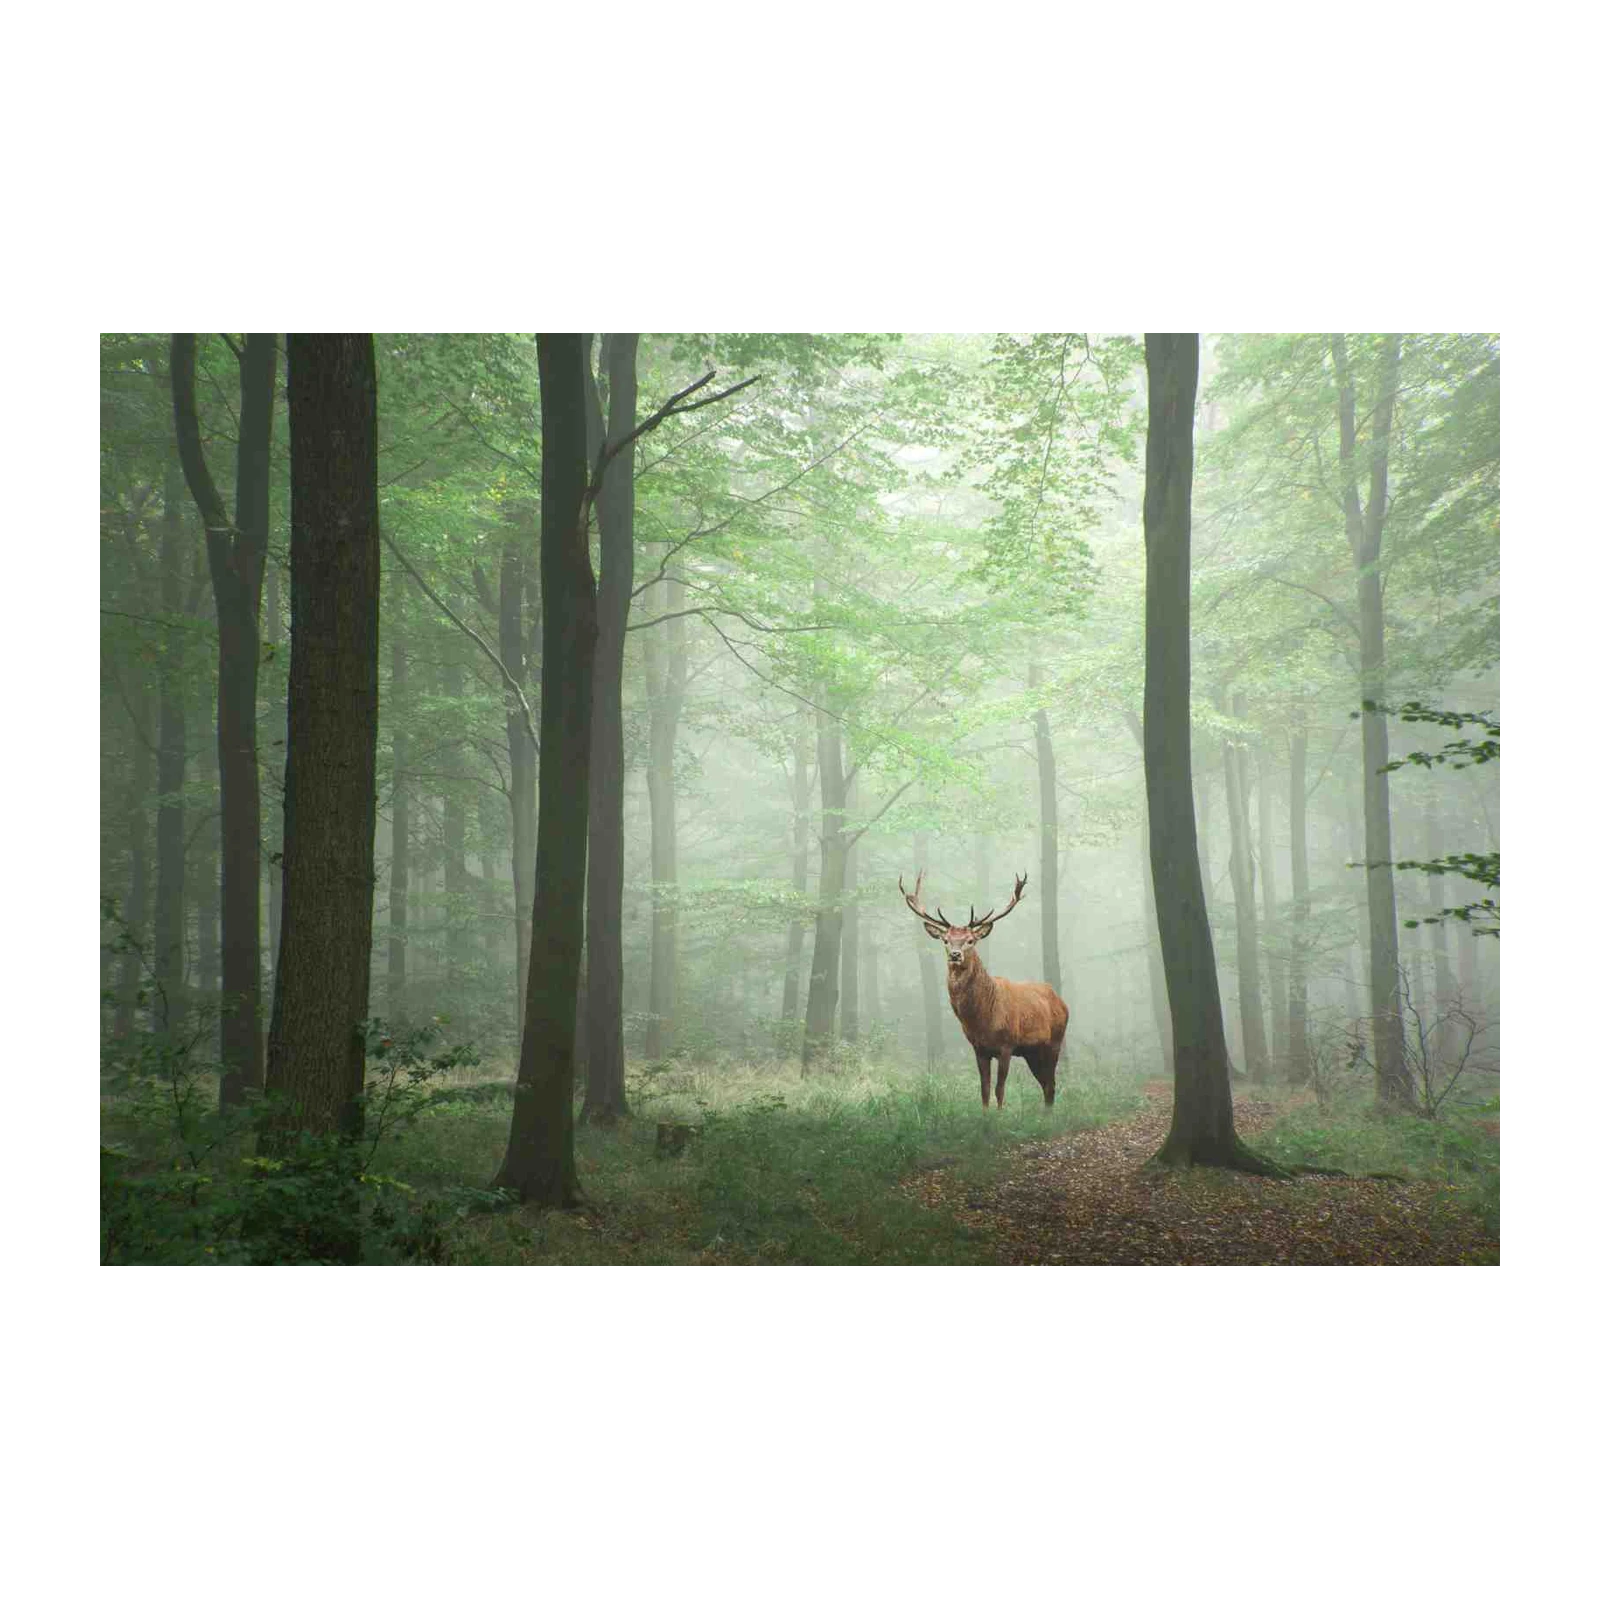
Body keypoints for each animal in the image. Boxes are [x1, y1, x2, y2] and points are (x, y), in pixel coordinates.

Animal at [901, 869, 1069, 1110]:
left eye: (970, 940)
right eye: (946, 940)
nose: (955, 955)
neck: (982, 1019)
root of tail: (1062, 1002)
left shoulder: (1007, 1045)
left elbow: (999, 1089)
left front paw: (999, 1115)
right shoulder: (979, 1048)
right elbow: (984, 1090)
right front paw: (985, 1115)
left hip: (1055, 1041)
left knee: (1051, 1084)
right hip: (1032, 1052)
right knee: (1046, 1084)